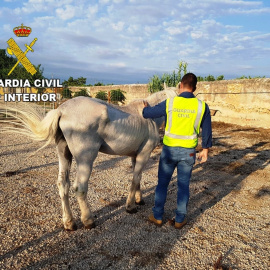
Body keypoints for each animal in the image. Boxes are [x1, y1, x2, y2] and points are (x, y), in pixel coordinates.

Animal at [1, 89, 177, 230]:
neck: (149, 117)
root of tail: (62, 110)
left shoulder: (135, 156)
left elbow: (137, 178)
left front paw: (139, 200)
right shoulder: (143, 155)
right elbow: (135, 179)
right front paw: (131, 206)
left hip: (64, 155)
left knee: (63, 184)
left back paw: (69, 222)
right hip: (86, 160)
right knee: (80, 188)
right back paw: (88, 220)